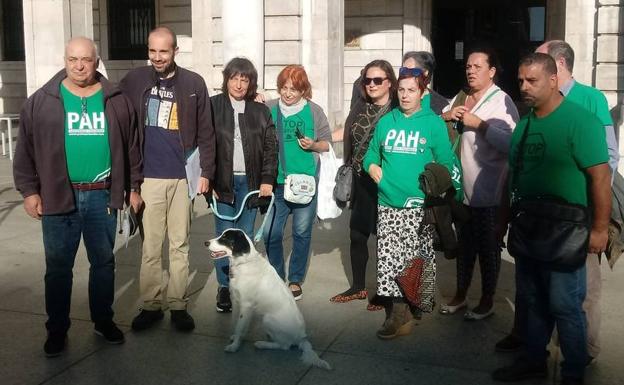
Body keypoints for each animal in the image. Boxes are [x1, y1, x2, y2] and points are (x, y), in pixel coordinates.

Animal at [205, 228, 332, 368]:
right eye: (221, 235)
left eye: (225, 238)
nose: (206, 243)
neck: (244, 262)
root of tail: (302, 338)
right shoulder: (237, 301)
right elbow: (237, 325)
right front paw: (235, 338)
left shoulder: (246, 305)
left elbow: (239, 327)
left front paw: (234, 346)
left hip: (267, 318)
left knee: (285, 345)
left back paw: (262, 344)